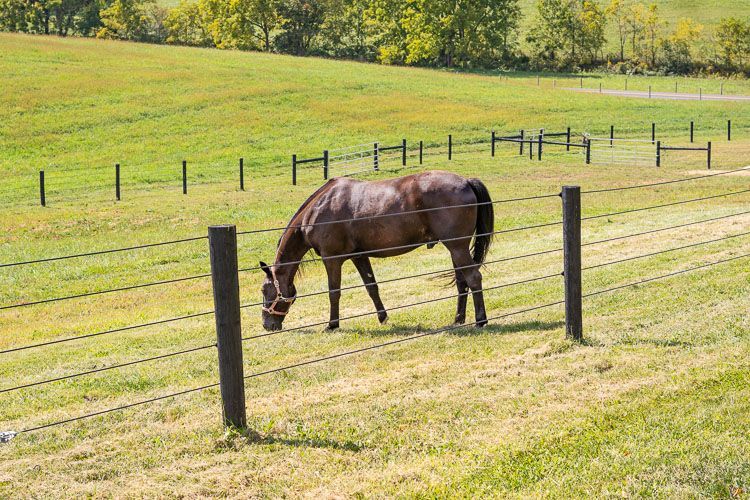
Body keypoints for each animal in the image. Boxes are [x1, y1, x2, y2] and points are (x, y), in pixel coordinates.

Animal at [259, 170, 494, 332]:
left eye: (263, 290)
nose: (267, 324)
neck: (319, 207)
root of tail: (466, 181)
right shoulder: (359, 256)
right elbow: (372, 287)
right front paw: (383, 317)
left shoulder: (332, 259)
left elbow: (334, 292)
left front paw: (332, 324)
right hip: (455, 248)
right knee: (462, 282)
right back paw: (458, 319)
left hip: (457, 247)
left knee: (473, 278)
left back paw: (480, 321)